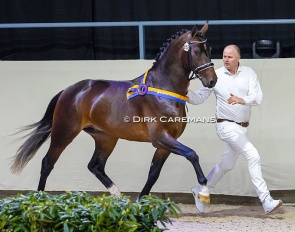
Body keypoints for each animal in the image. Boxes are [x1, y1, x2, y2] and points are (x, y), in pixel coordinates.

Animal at [11, 21, 217, 203]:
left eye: (210, 49)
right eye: (196, 51)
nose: (212, 81)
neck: (163, 89)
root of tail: (69, 90)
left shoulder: (166, 142)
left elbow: (154, 173)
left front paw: (140, 200)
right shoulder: (160, 137)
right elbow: (192, 154)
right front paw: (204, 190)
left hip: (105, 138)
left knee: (95, 166)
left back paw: (118, 195)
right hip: (64, 132)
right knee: (47, 163)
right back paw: (39, 200)